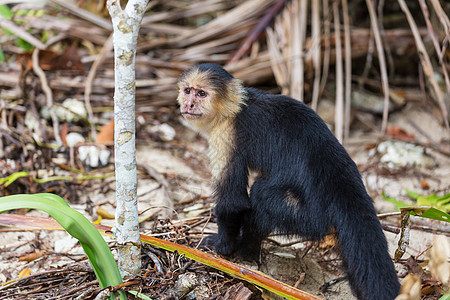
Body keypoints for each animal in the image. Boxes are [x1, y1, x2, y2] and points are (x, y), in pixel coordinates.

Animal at [177, 63, 400, 300]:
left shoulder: (226, 134)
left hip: (308, 218)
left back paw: (247, 251)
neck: (235, 108)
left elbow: (233, 202)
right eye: (188, 91)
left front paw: (222, 247)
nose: (189, 103)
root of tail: (342, 187)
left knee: (262, 195)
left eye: (202, 93)